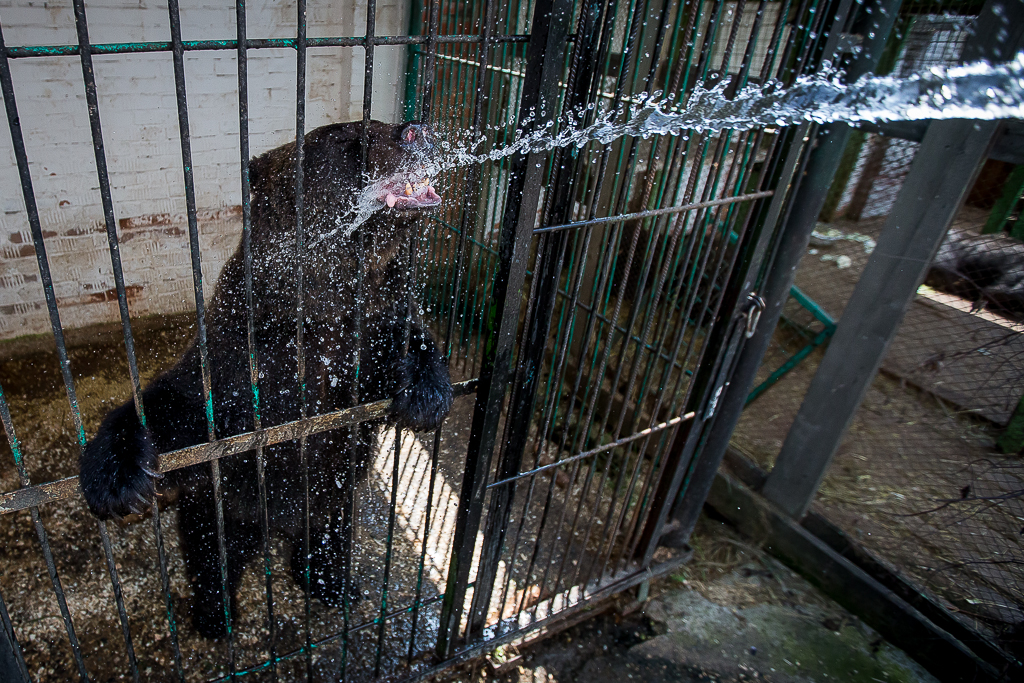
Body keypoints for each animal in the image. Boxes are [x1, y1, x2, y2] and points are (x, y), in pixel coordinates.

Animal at [75, 121, 452, 643]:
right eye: (345, 140)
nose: (416, 130)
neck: (317, 313)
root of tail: (279, 529)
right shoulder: (244, 356)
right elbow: (182, 405)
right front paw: (115, 479)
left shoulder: (365, 331)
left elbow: (404, 343)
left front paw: (426, 395)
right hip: (227, 508)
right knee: (213, 556)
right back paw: (217, 615)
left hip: (334, 498)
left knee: (331, 536)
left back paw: (333, 583)